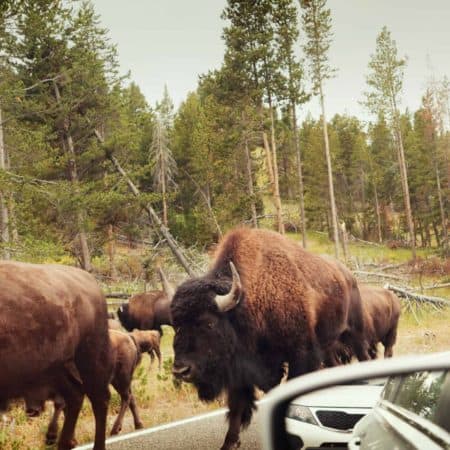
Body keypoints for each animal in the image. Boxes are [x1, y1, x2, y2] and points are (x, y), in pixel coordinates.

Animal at [0, 260, 111, 450]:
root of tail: (90, 280)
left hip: (90, 357)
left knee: (99, 399)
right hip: (55, 368)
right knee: (74, 396)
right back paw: (63, 441)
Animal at [169, 229, 370, 450]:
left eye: (208, 323)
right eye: (176, 325)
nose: (181, 370)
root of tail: (348, 275)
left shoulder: (300, 355)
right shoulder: (241, 368)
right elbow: (237, 406)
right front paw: (230, 442)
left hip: (355, 334)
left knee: (365, 357)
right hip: (328, 347)